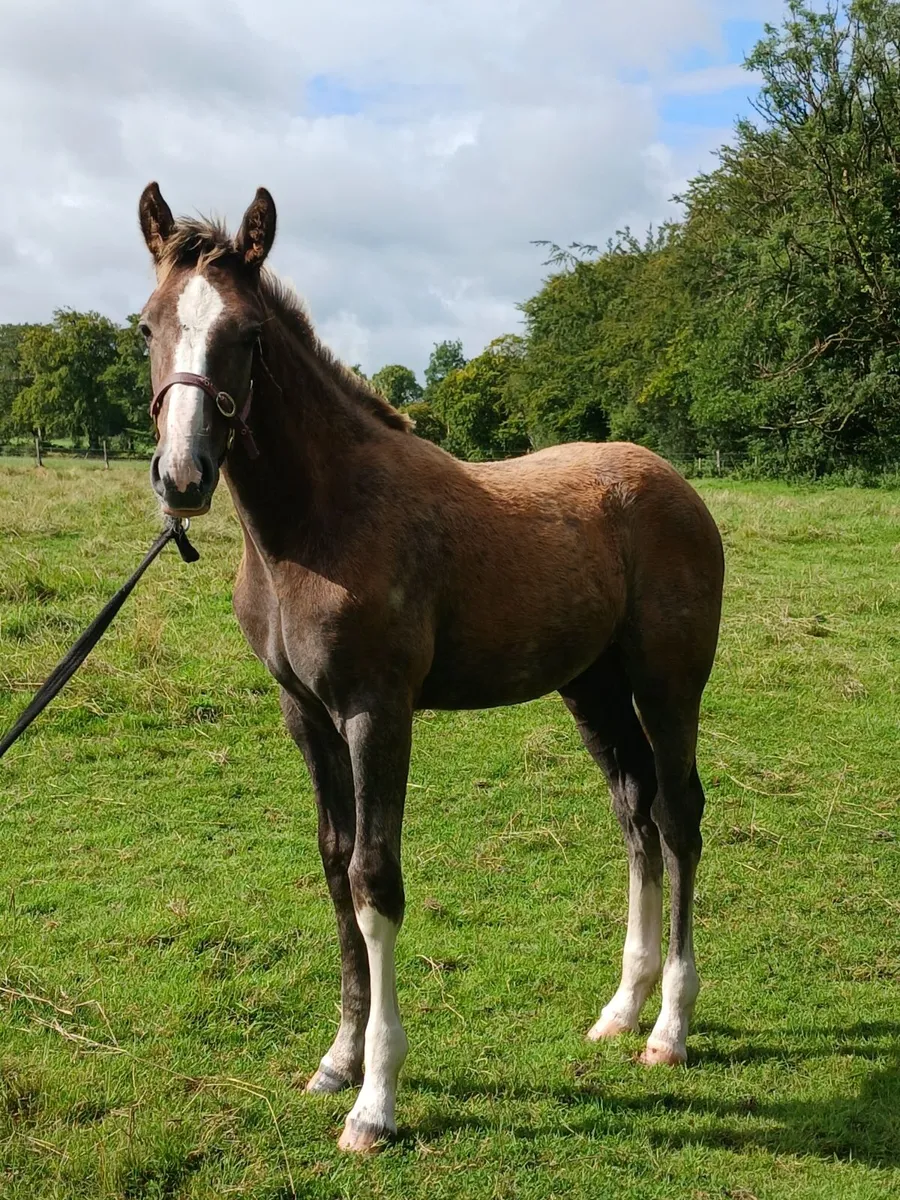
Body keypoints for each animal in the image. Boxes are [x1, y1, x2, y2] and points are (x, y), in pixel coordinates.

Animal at [137, 182, 725, 1153]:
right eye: (146, 326)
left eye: (248, 335)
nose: (182, 476)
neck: (317, 524)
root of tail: (674, 481)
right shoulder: (305, 714)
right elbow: (334, 862)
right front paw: (337, 1060)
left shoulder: (377, 711)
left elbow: (375, 880)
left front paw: (375, 1102)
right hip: (591, 686)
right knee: (633, 810)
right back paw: (620, 1009)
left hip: (668, 683)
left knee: (678, 819)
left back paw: (669, 1029)